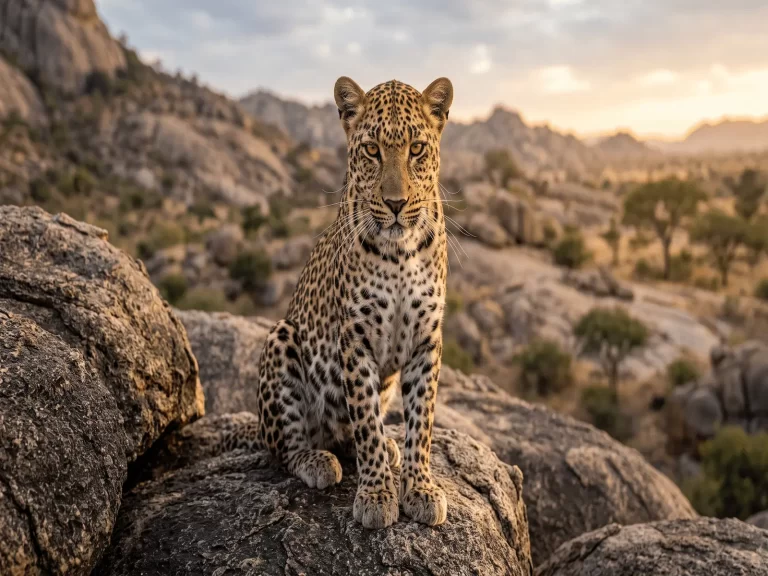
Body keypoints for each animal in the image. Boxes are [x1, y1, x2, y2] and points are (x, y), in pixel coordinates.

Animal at [234, 76, 453, 529]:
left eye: (416, 149)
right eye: (371, 150)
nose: (395, 203)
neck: (401, 253)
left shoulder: (427, 338)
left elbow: (421, 420)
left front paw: (420, 486)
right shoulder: (355, 336)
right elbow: (365, 417)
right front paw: (375, 495)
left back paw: (390, 448)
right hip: (280, 339)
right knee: (285, 448)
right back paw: (319, 461)